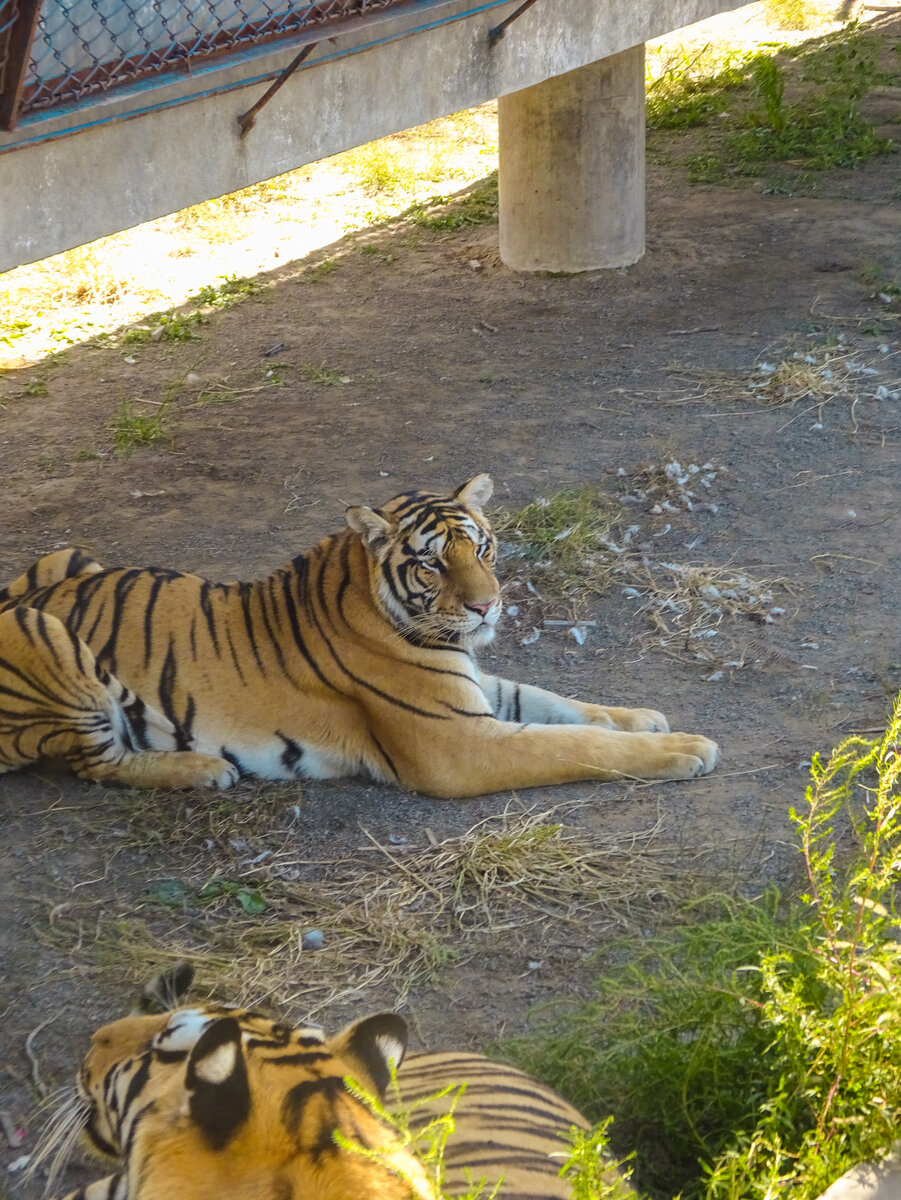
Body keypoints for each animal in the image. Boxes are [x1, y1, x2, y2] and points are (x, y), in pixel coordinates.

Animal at [0, 473, 718, 797]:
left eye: (483, 547)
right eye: (432, 564)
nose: (487, 607)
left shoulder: (476, 691)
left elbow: (563, 705)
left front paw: (644, 717)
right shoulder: (457, 746)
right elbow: (575, 743)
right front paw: (685, 747)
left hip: (68, 556)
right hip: (42, 633)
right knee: (96, 764)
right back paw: (203, 769)